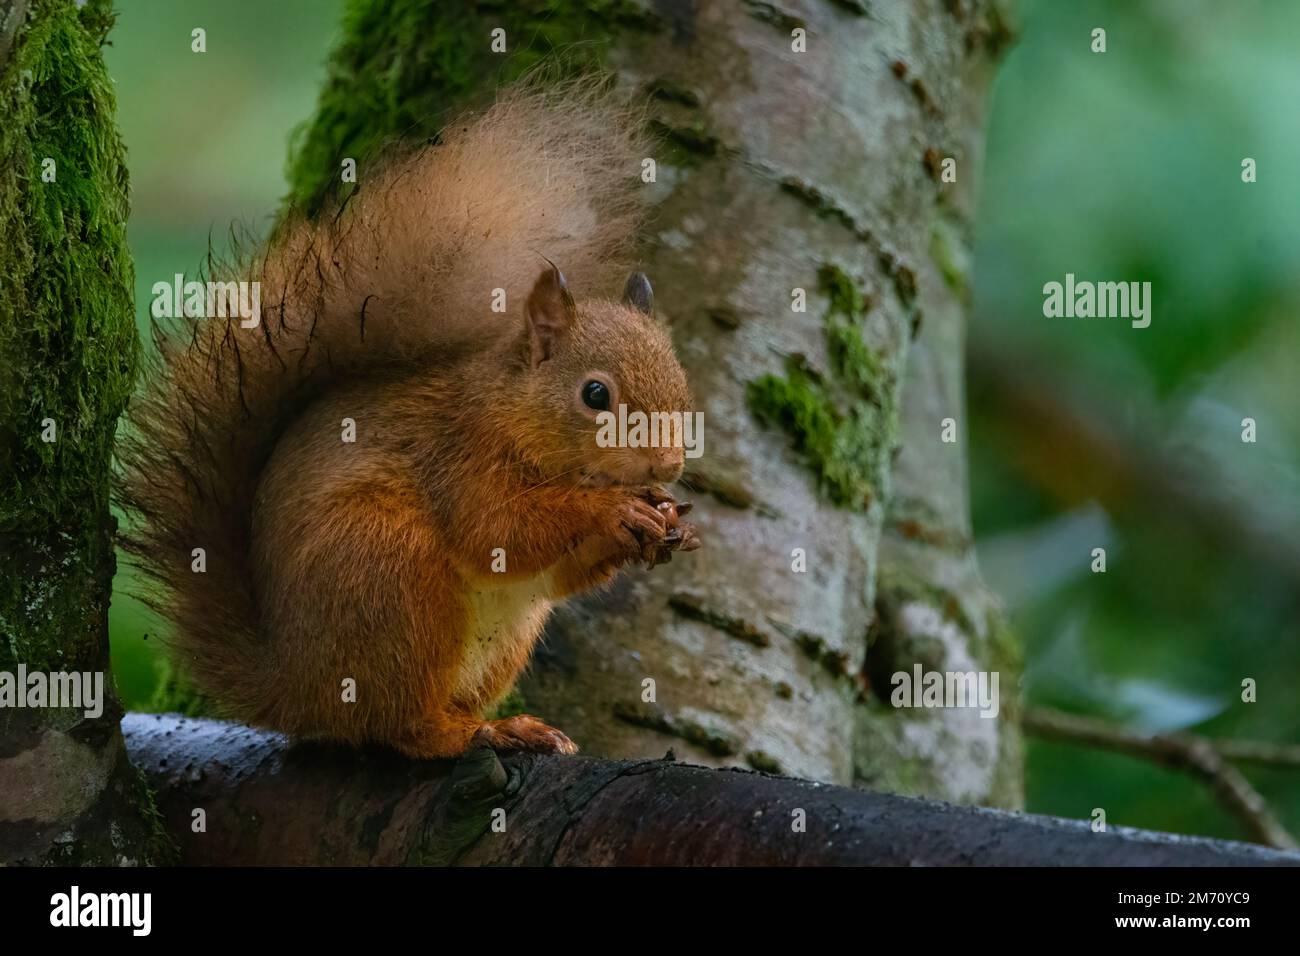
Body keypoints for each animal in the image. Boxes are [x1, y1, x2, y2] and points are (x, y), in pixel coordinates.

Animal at [117, 85, 700, 759]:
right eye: (596, 394)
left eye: (682, 385)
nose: (668, 465)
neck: (512, 413)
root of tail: (291, 692)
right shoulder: (458, 455)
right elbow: (497, 529)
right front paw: (612, 511)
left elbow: (557, 575)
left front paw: (670, 523)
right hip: (391, 572)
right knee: (397, 725)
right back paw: (469, 732)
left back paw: (514, 725)